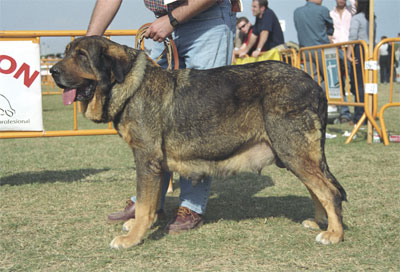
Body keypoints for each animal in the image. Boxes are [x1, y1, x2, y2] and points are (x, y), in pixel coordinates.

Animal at [50, 36, 346, 249]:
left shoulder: (146, 159)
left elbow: (144, 205)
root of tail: (315, 85)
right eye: (66, 52)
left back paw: (334, 233)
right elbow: (152, 201)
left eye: (81, 56)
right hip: (294, 155)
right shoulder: (158, 164)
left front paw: (132, 238)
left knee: (328, 191)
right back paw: (320, 222)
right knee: (318, 188)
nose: (52, 70)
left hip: (293, 150)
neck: (129, 87)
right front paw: (140, 225)